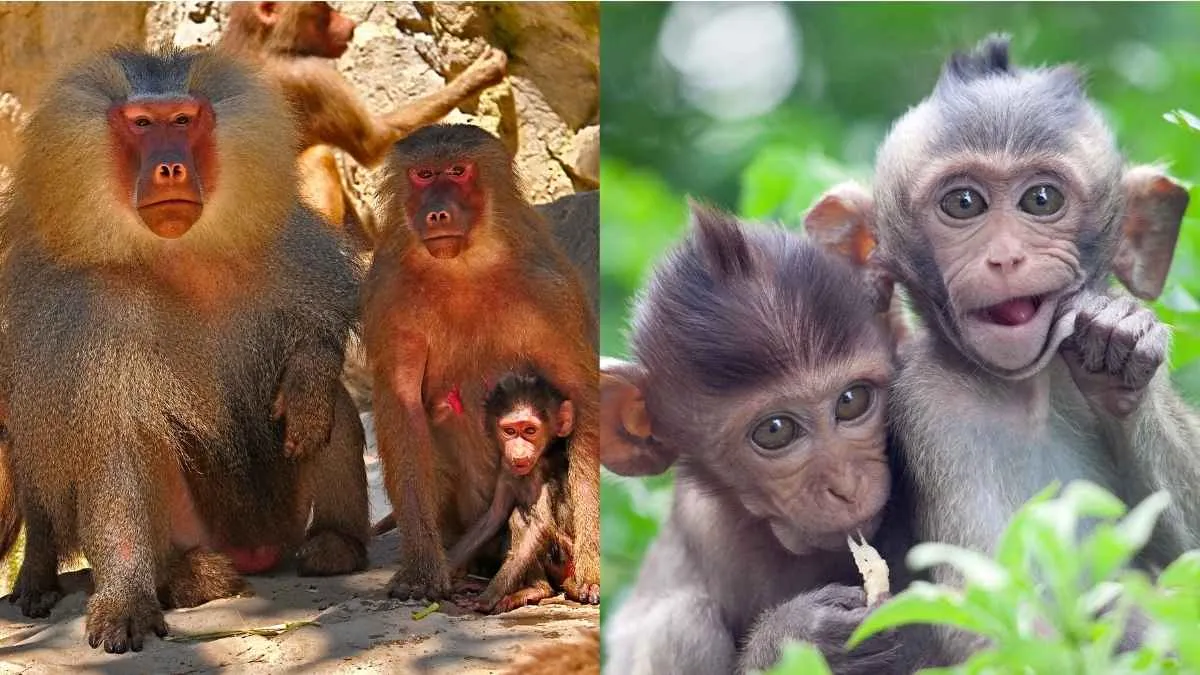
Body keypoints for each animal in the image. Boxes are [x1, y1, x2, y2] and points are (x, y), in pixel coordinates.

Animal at [0, 48, 370, 653]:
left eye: (182, 121)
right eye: (141, 125)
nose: (170, 168)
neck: (173, 253)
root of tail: (257, 551)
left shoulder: (280, 241)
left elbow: (318, 338)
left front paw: (309, 376)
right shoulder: (85, 312)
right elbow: (114, 445)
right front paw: (124, 603)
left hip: (285, 519)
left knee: (330, 403)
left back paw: (336, 544)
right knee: (144, 442)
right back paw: (186, 578)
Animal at [218, 1, 509, 247]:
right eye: (322, 10)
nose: (349, 24)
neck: (256, 42)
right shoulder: (312, 76)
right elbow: (373, 144)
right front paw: (479, 75)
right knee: (319, 156)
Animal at [445, 368, 576, 613]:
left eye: (530, 430)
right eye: (510, 431)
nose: (519, 450)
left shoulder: (541, 472)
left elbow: (539, 526)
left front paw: (487, 597)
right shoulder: (506, 467)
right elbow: (494, 517)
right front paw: (441, 570)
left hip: (567, 559)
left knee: (521, 517)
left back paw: (537, 590)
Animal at [806, 35, 1199, 664]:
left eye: (1040, 199)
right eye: (964, 203)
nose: (1006, 257)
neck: (1027, 392)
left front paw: (1119, 350)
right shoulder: (931, 407)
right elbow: (990, 616)